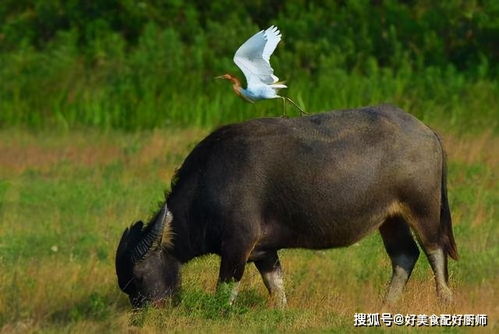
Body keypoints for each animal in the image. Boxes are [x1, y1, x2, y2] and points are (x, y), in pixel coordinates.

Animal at [115, 104, 458, 308]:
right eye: (126, 286)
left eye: (138, 279)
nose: (145, 311)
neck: (209, 185)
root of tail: (428, 132)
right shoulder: (264, 251)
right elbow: (276, 285)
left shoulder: (237, 247)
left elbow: (225, 291)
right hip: (390, 218)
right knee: (404, 255)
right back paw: (386, 307)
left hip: (423, 209)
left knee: (434, 249)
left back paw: (445, 300)